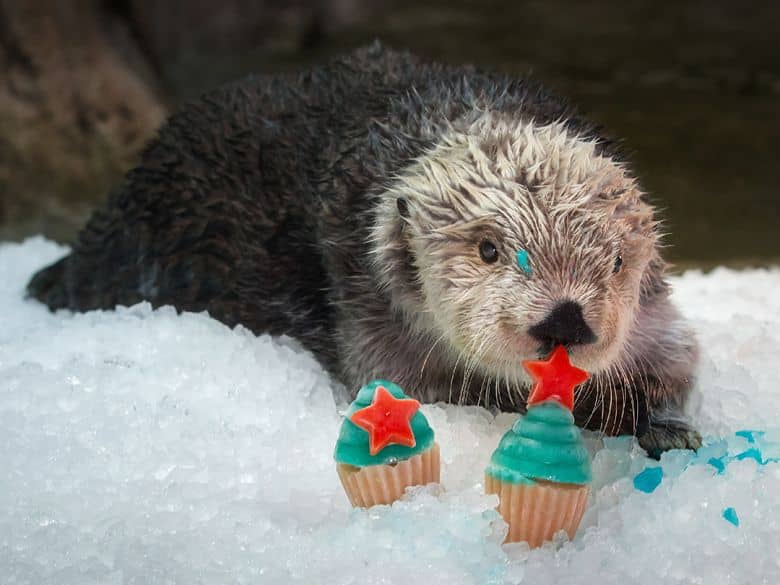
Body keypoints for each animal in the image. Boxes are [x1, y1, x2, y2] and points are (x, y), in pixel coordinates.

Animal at [27, 43, 701, 454]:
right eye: (488, 249)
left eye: (617, 263)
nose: (564, 320)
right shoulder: (369, 315)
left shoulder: (653, 316)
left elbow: (675, 365)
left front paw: (668, 430)